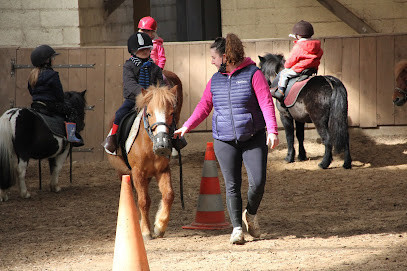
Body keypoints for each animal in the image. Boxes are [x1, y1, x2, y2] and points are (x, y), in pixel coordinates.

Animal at [109, 70, 184, 240]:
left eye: (171, 113)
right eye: (149, 114)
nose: (162, 144)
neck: (149, 147)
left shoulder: (162, 170)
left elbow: (168, 195)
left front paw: (159, 226)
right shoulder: (137, 173)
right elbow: (143, 201)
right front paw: (145, 231)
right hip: (123, 172)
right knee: (131, 195)